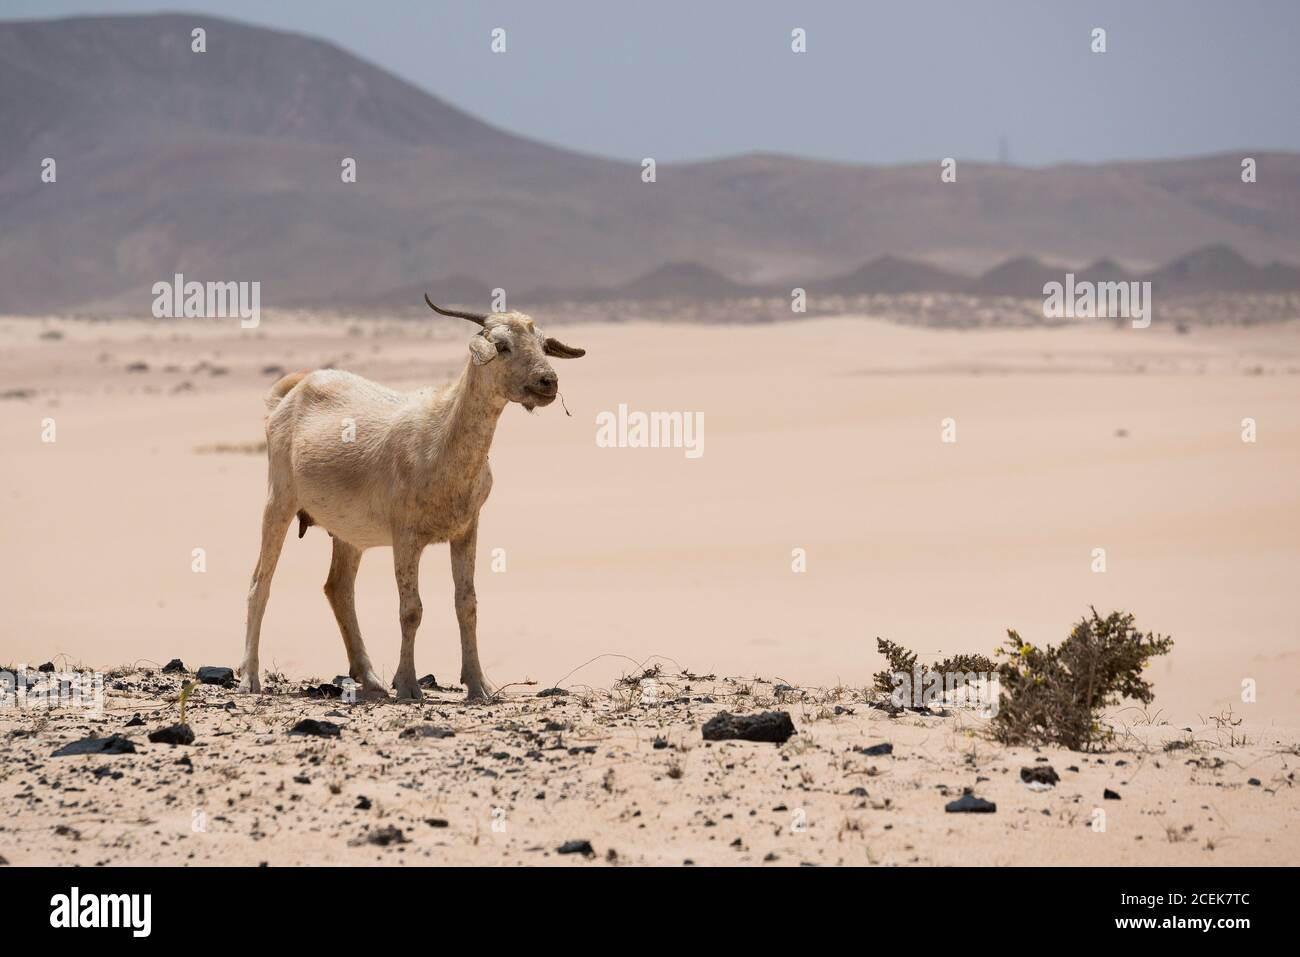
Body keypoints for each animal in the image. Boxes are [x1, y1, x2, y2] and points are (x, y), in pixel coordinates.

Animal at [238, 296, 586, 701]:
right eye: (502, 345)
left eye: (544, 343)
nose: (548, 382)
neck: (441, 436)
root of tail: (290, 393)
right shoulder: (405, 535)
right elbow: (411, 609)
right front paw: (407, 684)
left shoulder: (466, 529)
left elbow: (466, 603)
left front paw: (478, 685)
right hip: (279, 499)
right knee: (260, 583)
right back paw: (250, 678)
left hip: (348, 532)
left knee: (339, 588)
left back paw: (370, 680)